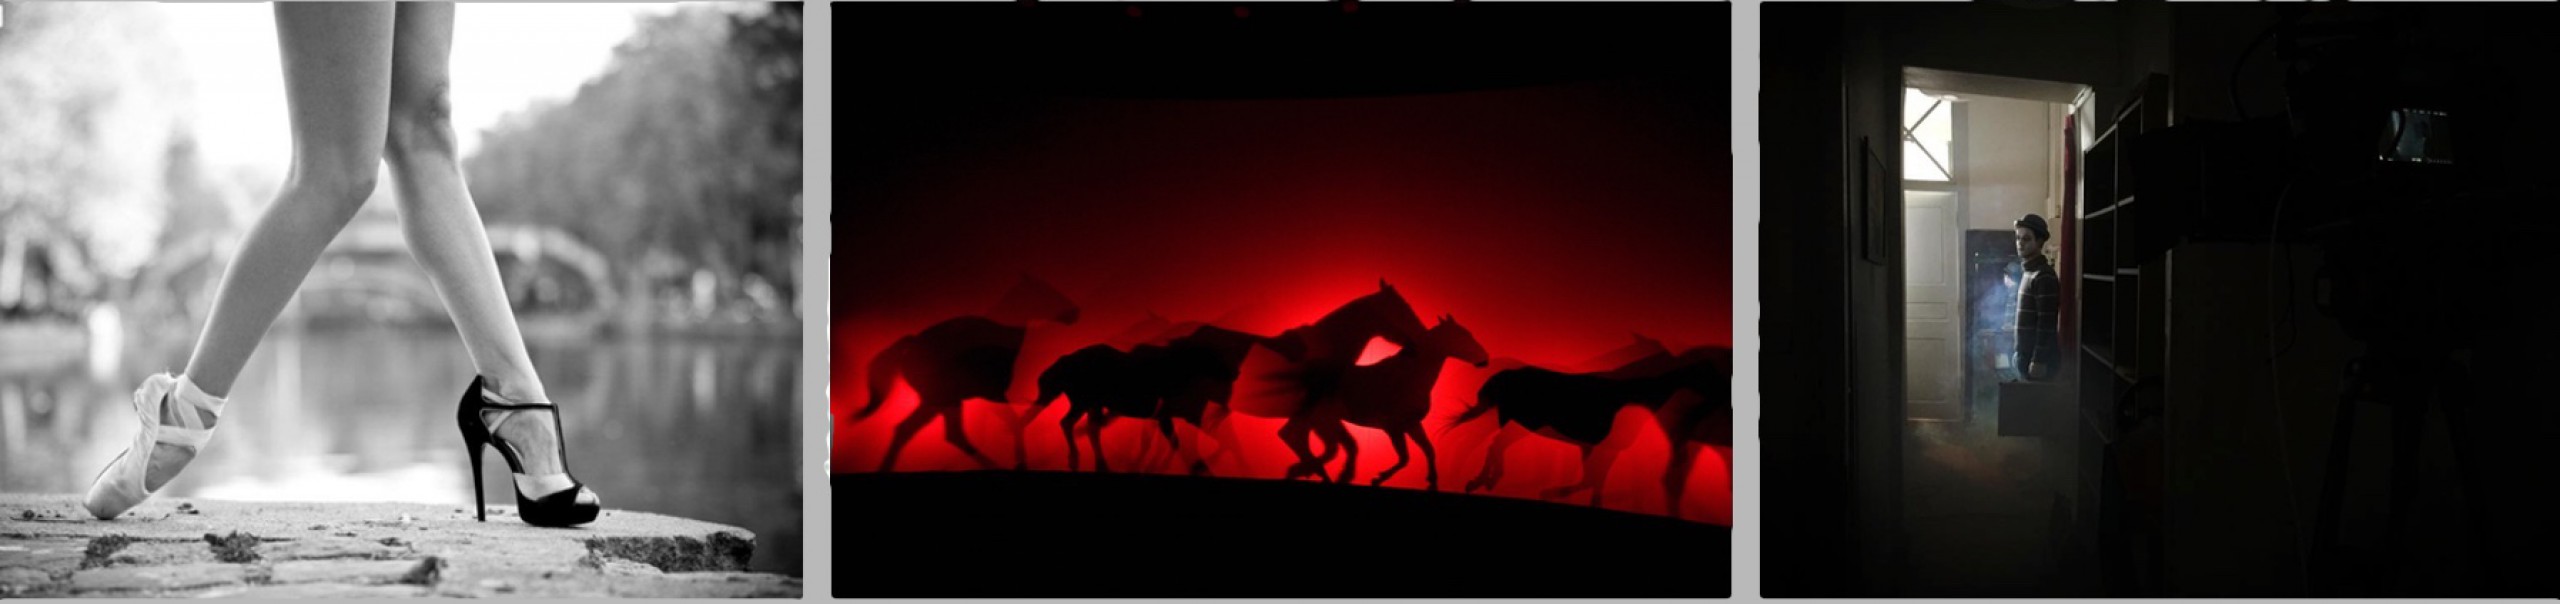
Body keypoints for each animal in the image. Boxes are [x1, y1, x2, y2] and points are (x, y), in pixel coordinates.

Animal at [858, 276, 1079, 471]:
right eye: (1043, 290)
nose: (1073, 312)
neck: (1000, 335)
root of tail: (910, 345)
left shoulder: (991, 397)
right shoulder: (994, 394)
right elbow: (1015, 422)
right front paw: (1021, 463)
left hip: (939, 402)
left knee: (913, 431)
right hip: (942, 399)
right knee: (949, 434)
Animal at [1448, 346, 1730, 510]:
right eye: (1710, 374)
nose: (1725, 400)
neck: (1629, 399)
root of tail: (1503, 375)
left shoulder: (1598, 449)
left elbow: (1593, 483)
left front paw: (1553, 493)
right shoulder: (1604, 449)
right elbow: (1591, 481)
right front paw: (1550, 492)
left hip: (1518, 425)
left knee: (1495, 446)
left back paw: (1483, 481)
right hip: (1521, 425)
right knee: (1495, 446)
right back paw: (1482, 481)